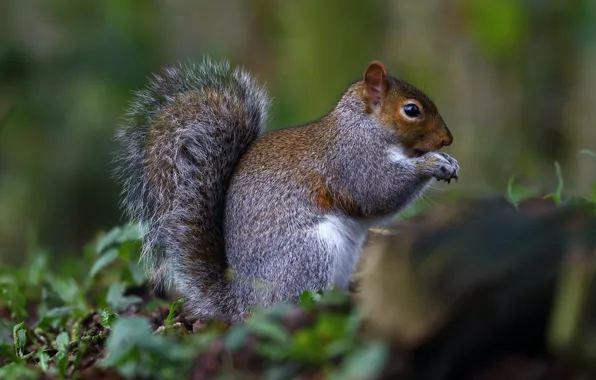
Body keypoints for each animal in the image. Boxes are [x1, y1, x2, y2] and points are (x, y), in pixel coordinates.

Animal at [114, 57, 458, 324]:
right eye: (411, 110)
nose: (447, 139)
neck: (363, 125)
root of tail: (241, 302)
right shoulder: (353, 161)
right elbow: (378, 193)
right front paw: (433, 163)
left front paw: (448, 162)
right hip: (309, 253)